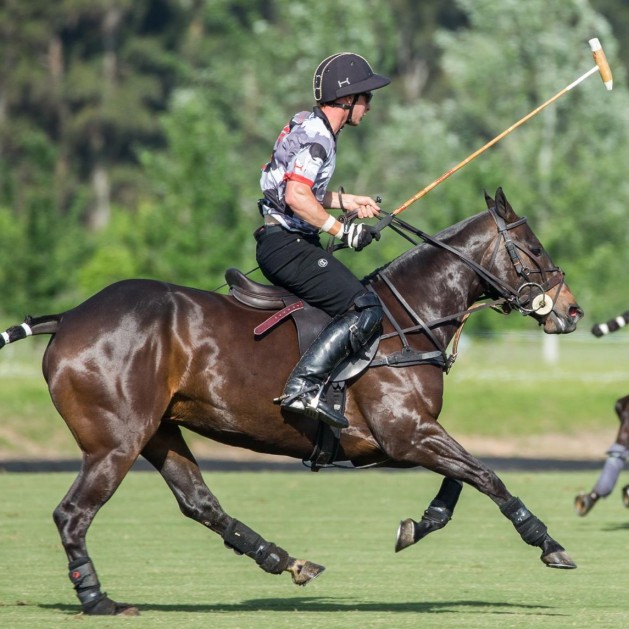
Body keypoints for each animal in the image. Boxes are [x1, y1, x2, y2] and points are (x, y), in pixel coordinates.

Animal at [0, 189, 584, 616]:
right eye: (534, 248)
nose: (572, 312)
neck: (407, 319)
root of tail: (68, 318)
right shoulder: (404, 434)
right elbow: (486, 475)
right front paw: (549, 543)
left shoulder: (412, 435)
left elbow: (461, 480)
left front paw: (420, 523)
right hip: (114, 443)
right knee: (72, 513)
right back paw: (97, 598)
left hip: (158, 431)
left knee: (199, 503)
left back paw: (286, 560)